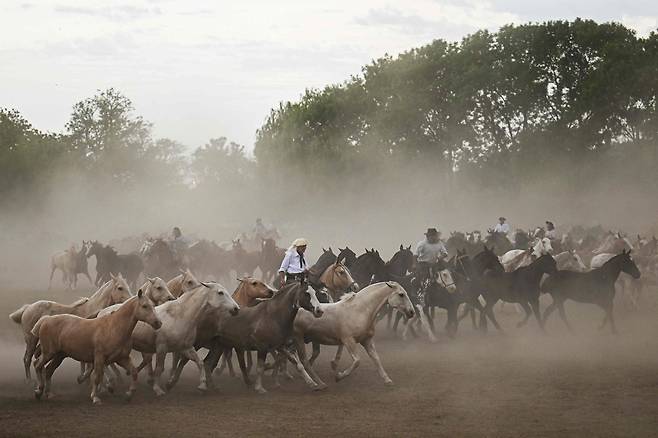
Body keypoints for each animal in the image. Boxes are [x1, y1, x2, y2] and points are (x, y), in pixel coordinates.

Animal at [31, 290, 162, 406]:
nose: (158, 323)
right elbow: (97, 377)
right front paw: (95, 398)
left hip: (60, 355)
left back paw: (48, 394)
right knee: (38, 365)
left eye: (153, 305)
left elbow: (134, 372)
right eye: (144, 306)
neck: (114, 328)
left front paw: (129, 394)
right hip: (49, 352)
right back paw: (38, 391)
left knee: (49, 370)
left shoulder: (122, 358)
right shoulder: (99, 358)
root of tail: (46, 319)